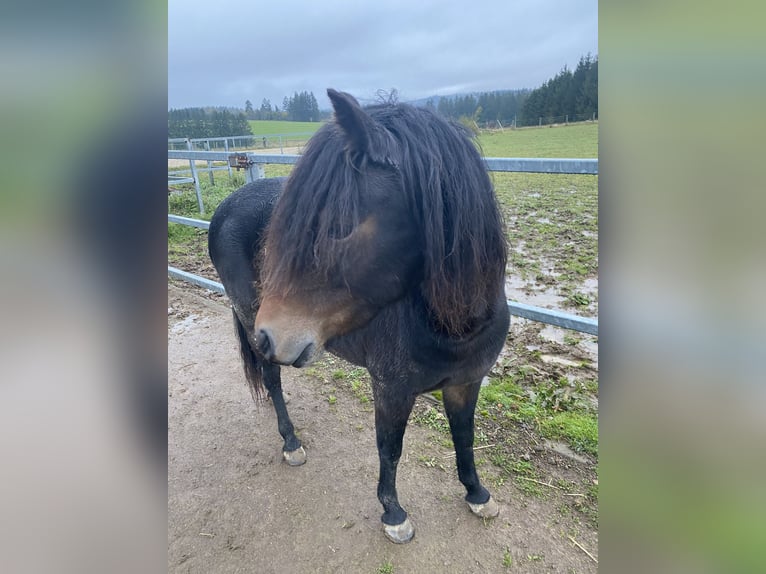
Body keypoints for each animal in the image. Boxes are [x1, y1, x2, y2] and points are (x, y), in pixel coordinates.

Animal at [207, 90, 512, 544]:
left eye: (337, 225)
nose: (271, 333)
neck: (454, 326)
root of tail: (223, 208)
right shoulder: (390, 390)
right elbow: (390, 448)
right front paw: (393, 513)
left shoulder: (466, 382)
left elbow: (464, 437)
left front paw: (477, 493)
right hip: (252, 322)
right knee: (272, 379)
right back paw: (291, 442)